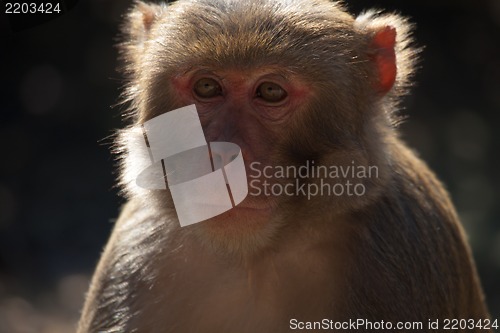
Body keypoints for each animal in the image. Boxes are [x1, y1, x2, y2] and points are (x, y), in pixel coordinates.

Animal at [78, 0, 492, 330]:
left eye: (271, 91)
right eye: (207, 87)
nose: (219, 156)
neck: (256, 255)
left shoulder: (403, 245)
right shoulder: (138, 249)